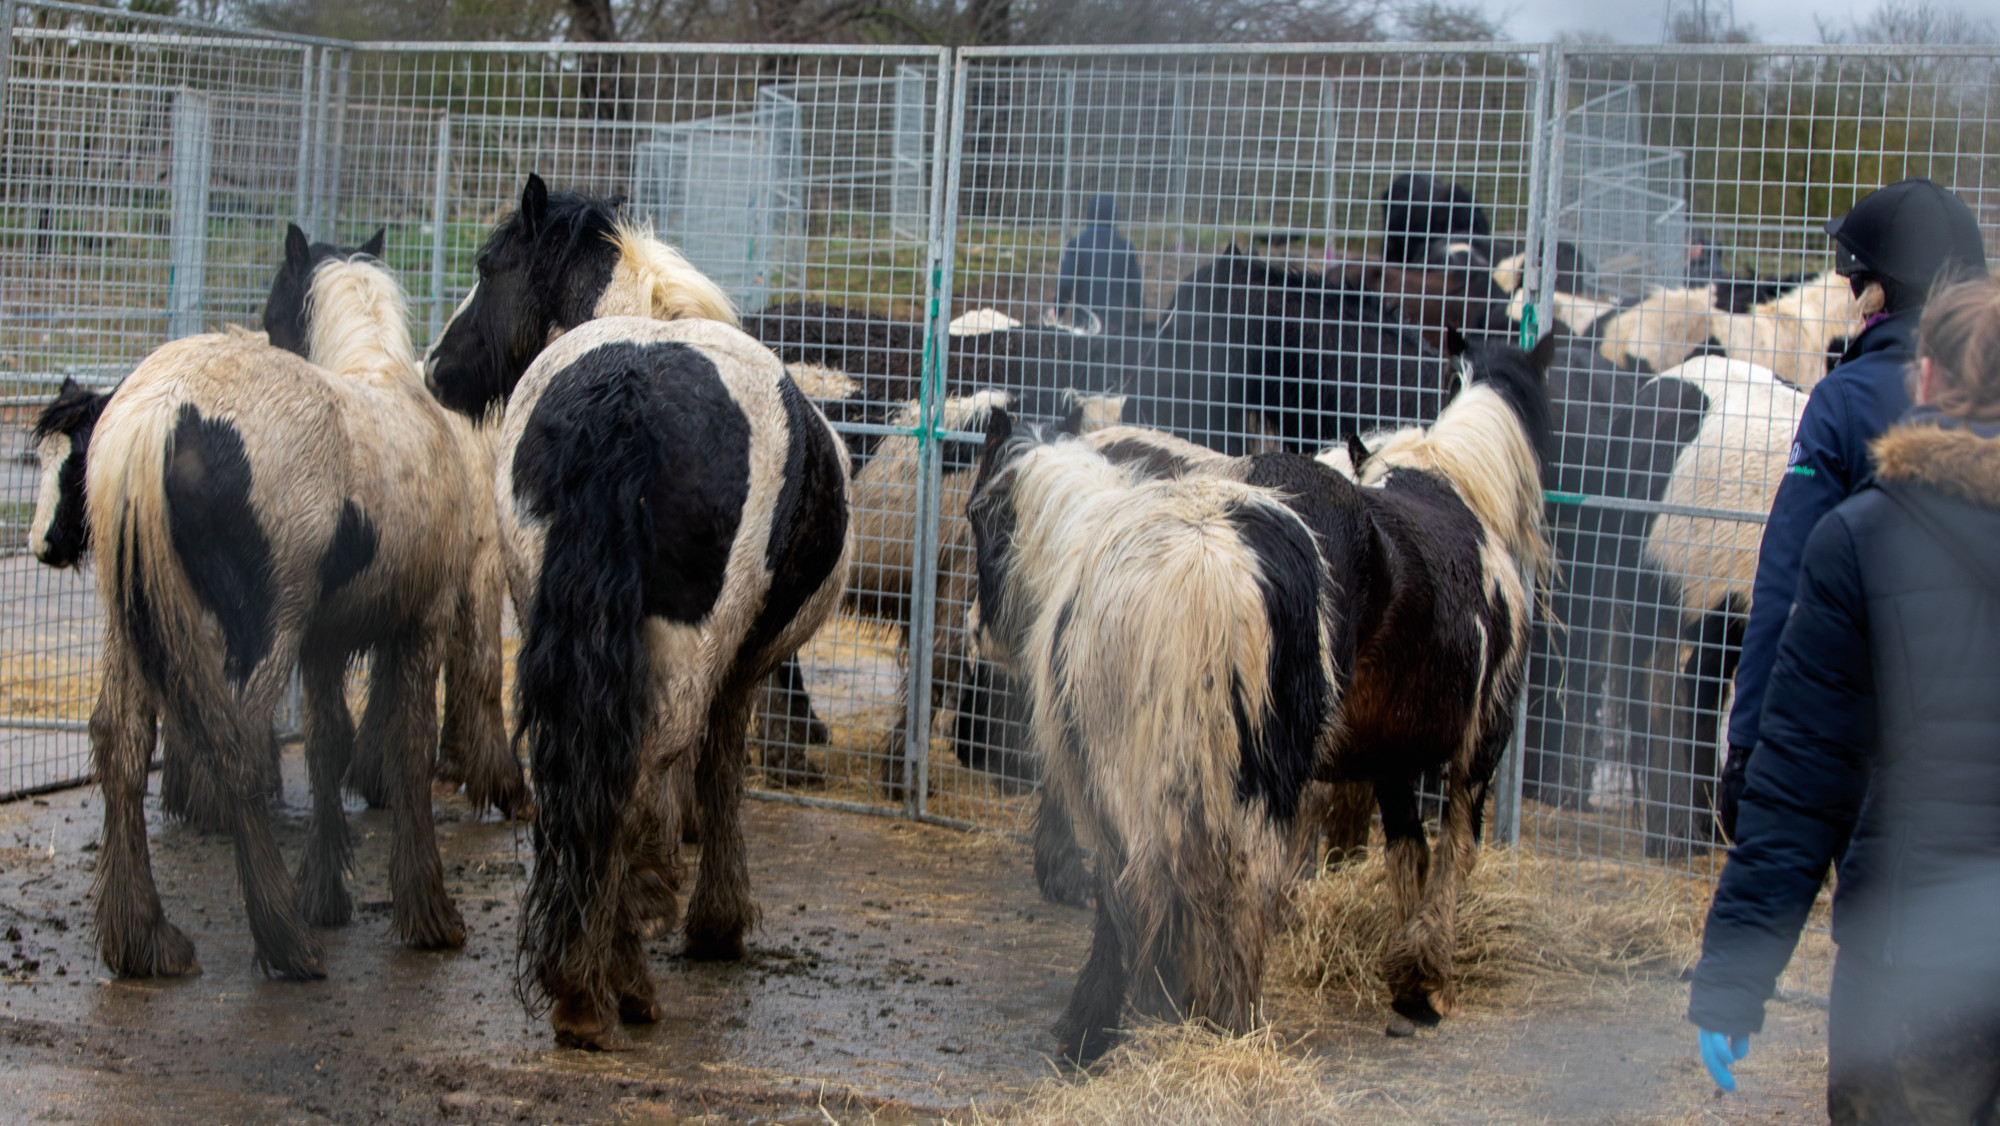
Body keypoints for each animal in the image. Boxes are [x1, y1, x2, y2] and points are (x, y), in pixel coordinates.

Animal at [73, 239, 480, 980]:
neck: (381, 379)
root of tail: (160, 412)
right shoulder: (422, 623)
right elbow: (407, 752)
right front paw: (426, 910)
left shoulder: (323, 644)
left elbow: (326, 747)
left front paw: (327, 893)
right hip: (265, 629)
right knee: (236, 748)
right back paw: (284, 939)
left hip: (133, 624)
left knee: (120, 741)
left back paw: (144, 939)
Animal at [425, 173, 853, 1050]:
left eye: (488, 268)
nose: (435, 369)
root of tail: (626, 392)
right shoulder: (741, 669)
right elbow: (719, 776)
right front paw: (716, 922)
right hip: (683, 662)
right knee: (641, 785)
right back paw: (610, 988)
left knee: (580, 785)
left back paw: (581, 975)